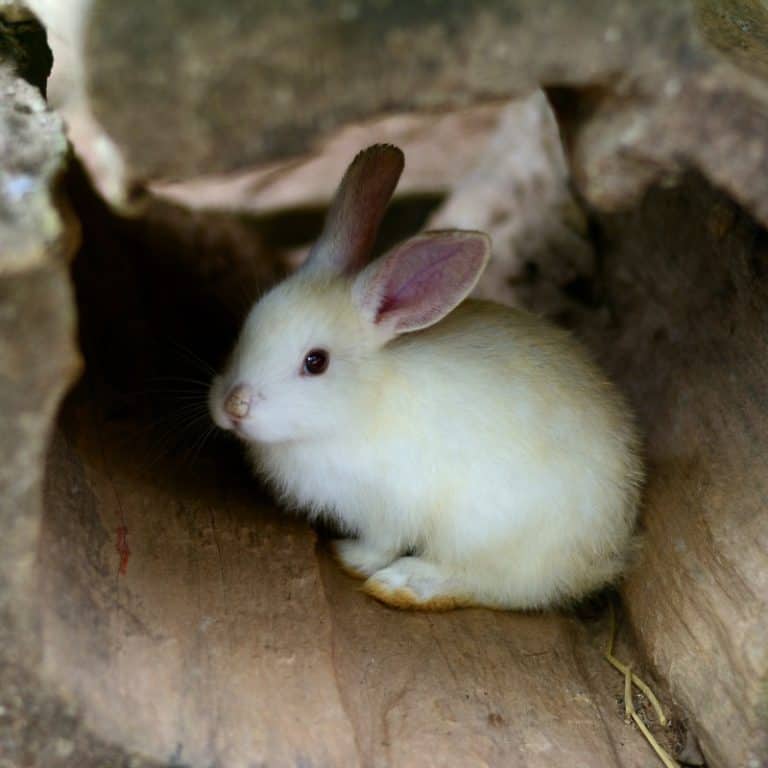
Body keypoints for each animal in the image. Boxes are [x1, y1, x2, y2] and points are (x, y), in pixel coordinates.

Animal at [209, 144, 643, 611]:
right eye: (249, 324)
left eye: (315, 362)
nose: (233, 406)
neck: (361, 404)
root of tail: (606, 550)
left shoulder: (390, 506)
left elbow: (381, 544)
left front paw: (349, 557)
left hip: (482, 533)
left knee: (495, 585)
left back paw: (404, 585)